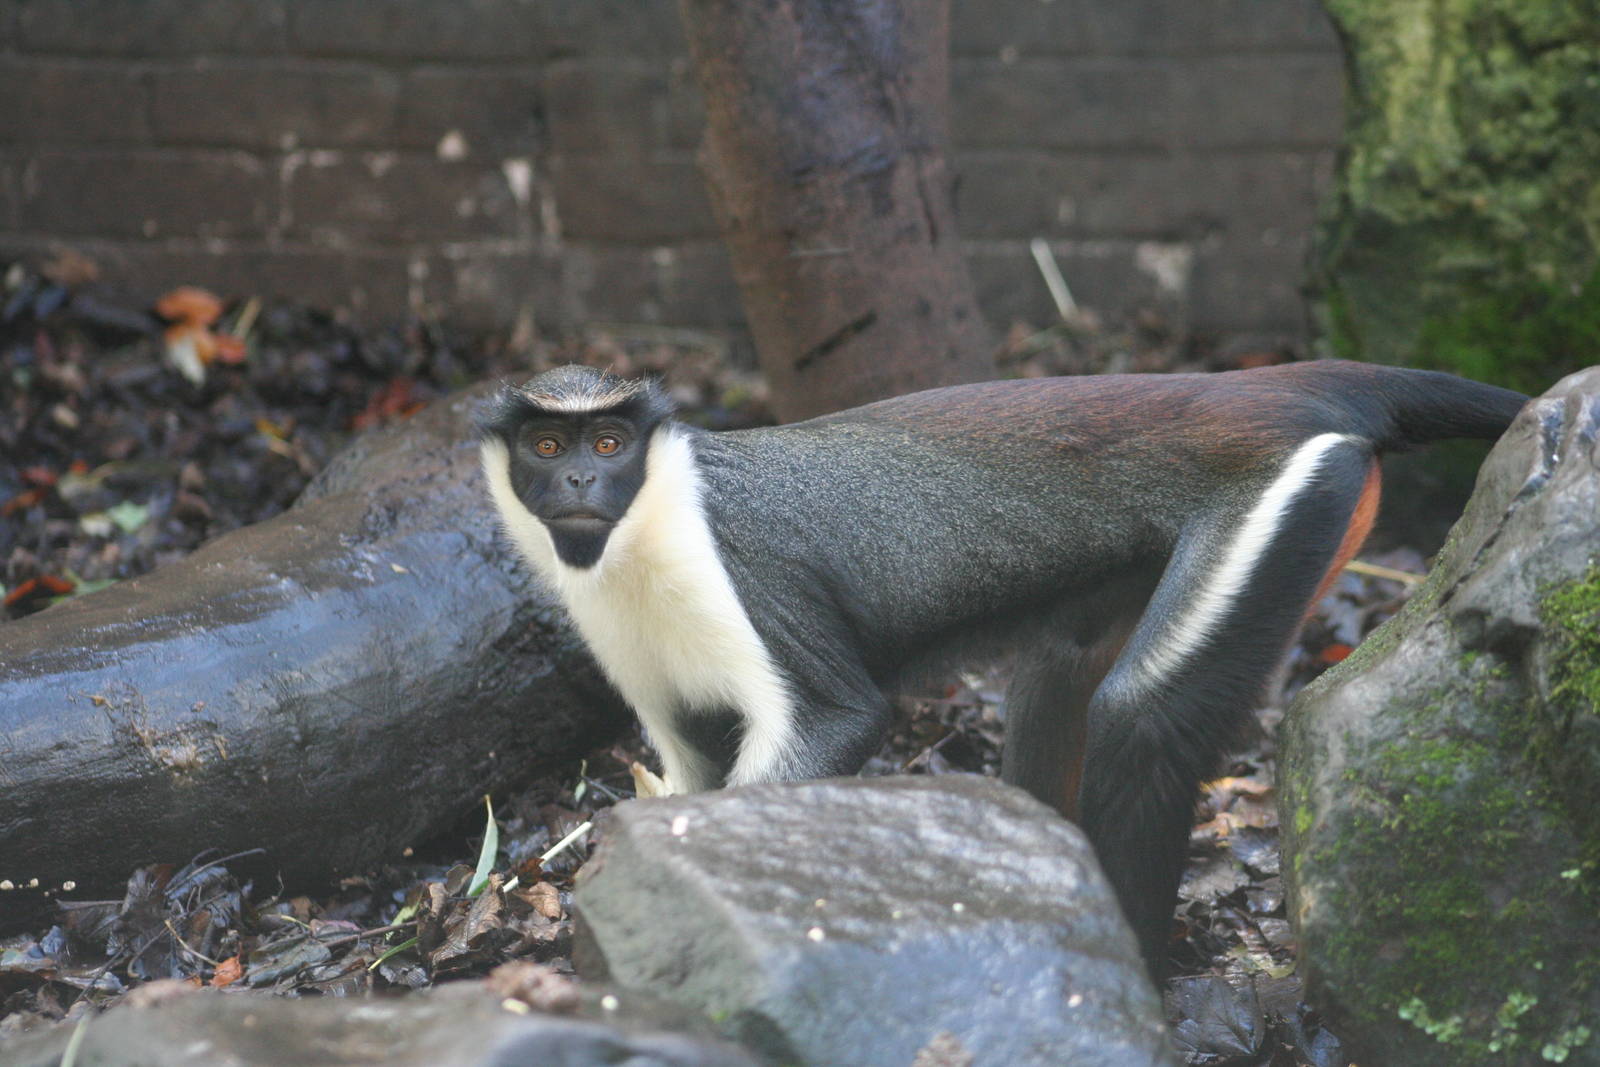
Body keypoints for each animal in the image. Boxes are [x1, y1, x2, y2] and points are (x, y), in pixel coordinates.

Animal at [478, 360, 1526, 972]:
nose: (578, 480)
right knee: (1061, 671)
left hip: (1291, 495)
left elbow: (836, 719)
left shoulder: (745, 572)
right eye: (547, 444)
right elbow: (692, 762)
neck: (648, 521)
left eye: (608, 442)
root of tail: (1273, 385)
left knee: (1143, 714)